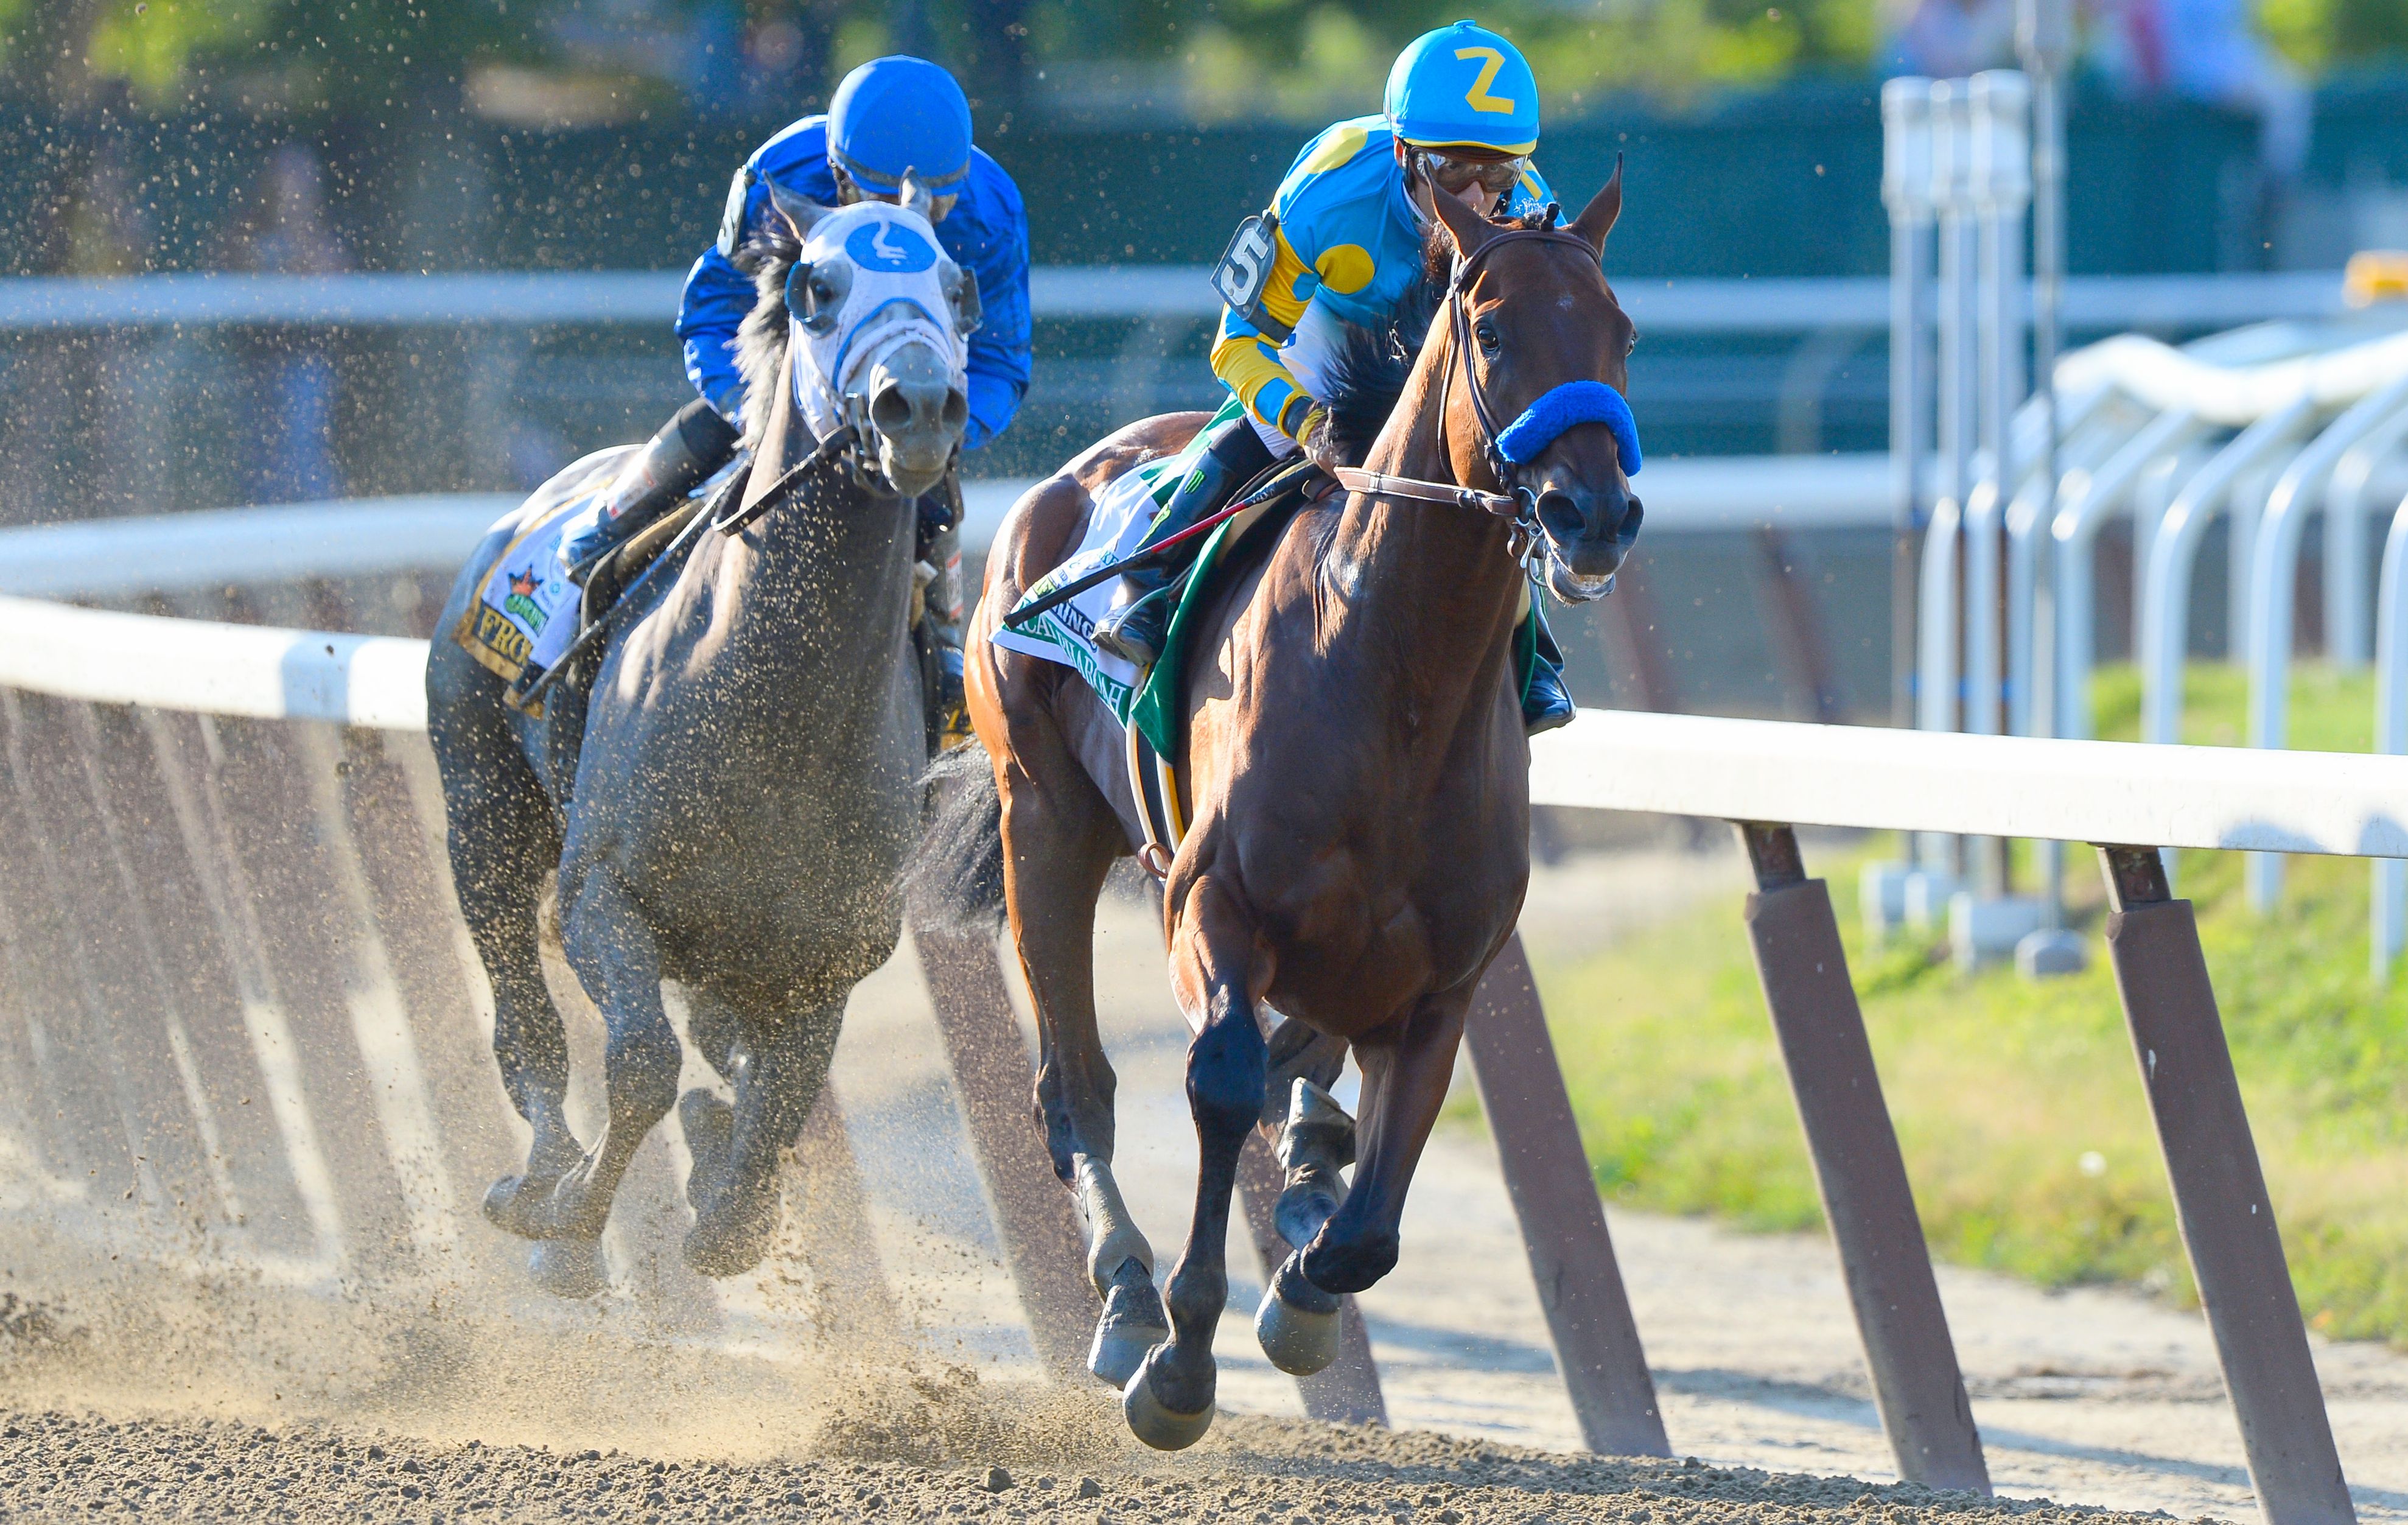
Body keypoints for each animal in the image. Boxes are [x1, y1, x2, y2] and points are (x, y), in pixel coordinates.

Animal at [426, 181, 978, 1300]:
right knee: (524, 1018)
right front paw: (567, 1218)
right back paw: (540, 1172)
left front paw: (729, 1184)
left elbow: (772, 1119)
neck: (775, 716)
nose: (920, 404)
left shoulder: (824, 955)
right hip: (481, 804)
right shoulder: (603, 896)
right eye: (816, 285)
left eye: (958, 286)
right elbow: (641, 1063)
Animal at [920, 175, 1637, 1436]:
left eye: (1622, 334)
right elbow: (1217, 1080)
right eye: (1492, 330)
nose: (1589, 512)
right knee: (1077, 1086)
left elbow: (1367, 1231)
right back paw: (1125, 1299)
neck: (1392, 676)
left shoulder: (1443, 981)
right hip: (1041, 822)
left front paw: (1303, 1287)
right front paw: (1180, 1364)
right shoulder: (1212, 905)